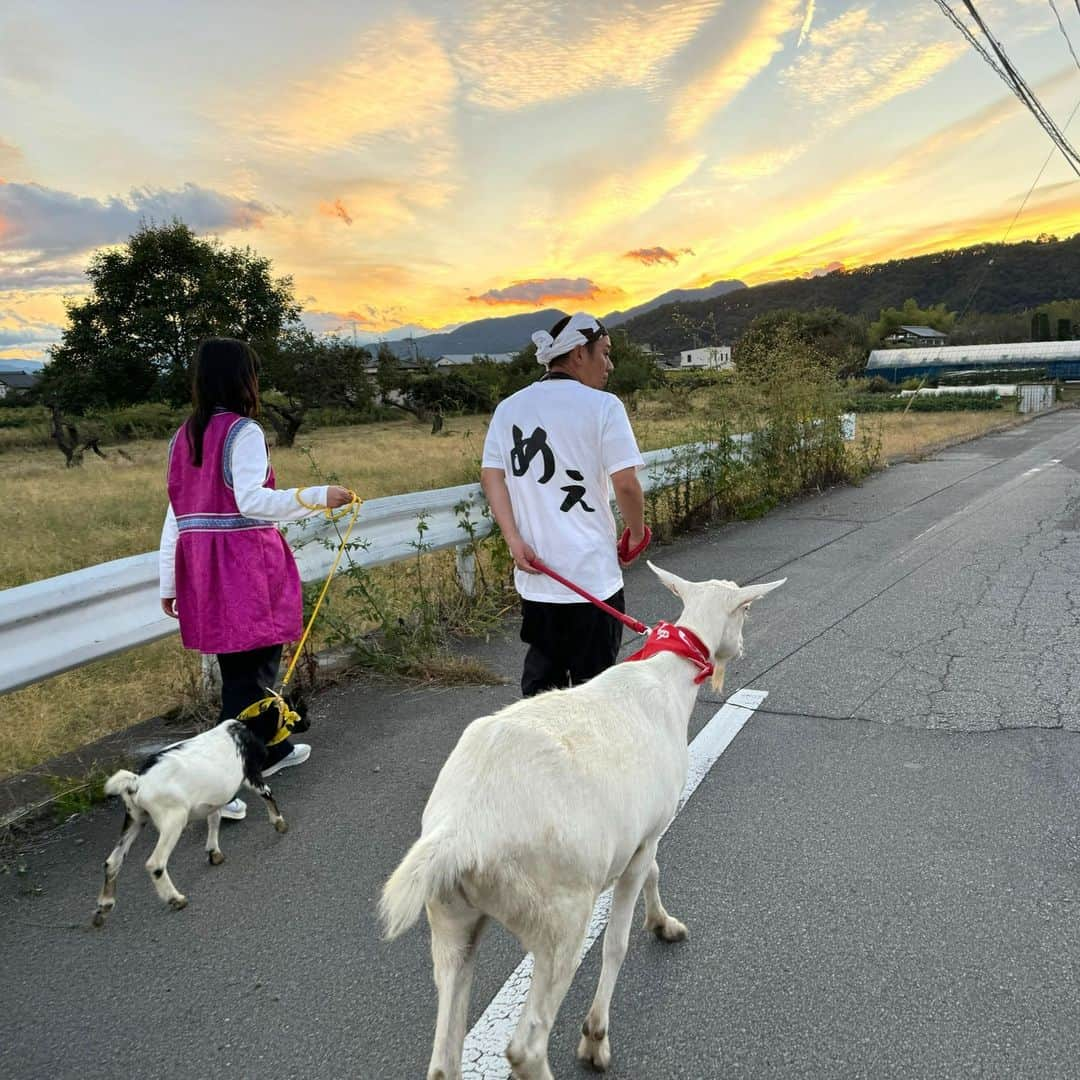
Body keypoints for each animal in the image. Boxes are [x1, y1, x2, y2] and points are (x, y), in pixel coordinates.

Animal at [90, 699, 306, 928]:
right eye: (299, 708)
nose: (308, 722)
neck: (250, 729)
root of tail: (136, 782)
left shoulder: (214, 797)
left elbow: (214, 818)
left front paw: (214, 852)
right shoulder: (251, 775)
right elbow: (267, 794)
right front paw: (280, 823)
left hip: (135, 818)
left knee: (112, 862)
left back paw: (103, 908)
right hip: (173, 820)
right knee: (155, 863)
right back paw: (175, 899)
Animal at [382, 565, 786, 1080]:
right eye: (747, 609)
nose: (742, 648)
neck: (667, 680)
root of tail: (458, 834)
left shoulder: (641, 833)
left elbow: (654, 873)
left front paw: (664, 923)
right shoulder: (646, 837)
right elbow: (616, 943)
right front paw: (595, 1037)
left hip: (451, 920)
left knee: (443, 1058)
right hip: (558, 917)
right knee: (526, 1046)